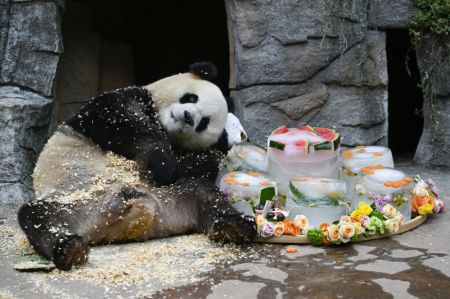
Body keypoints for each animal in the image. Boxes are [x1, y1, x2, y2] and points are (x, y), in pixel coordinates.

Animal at [18, 62, 256, 270]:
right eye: (191, 97)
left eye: (203, 123)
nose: (189, 117)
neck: (164, 126)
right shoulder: (122, 101)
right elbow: (118, 119)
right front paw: (161, 161)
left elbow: (195, 166)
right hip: (76, 200)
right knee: (38, 216)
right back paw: (69, 248)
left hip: (171, 198)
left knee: (205, 194)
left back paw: (236, 227)